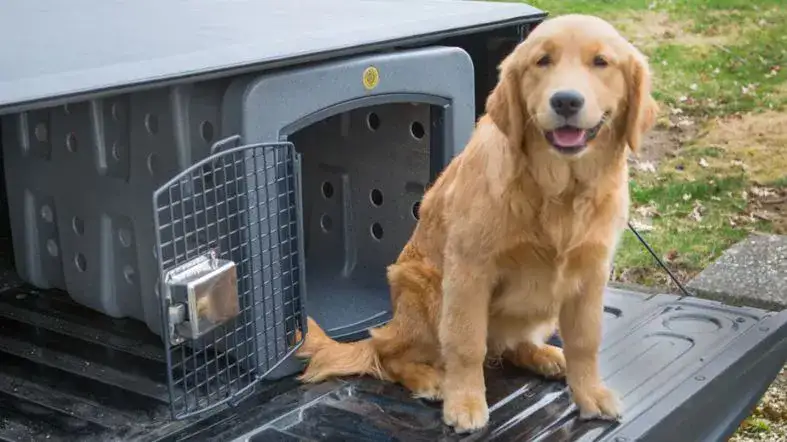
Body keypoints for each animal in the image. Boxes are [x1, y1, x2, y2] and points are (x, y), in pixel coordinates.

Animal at [296, 12, 660, 432]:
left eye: (601, 62)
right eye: (542, 61)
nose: (566, 100)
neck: (558, 191)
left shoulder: (590, 273)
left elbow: (585, 342)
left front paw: (590, 393)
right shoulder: (470, 270)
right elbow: (467, 344)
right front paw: (466, 403)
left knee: (512, 345)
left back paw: (546, 356)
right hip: (426, 291)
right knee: (389, 355)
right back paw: (429, 379)